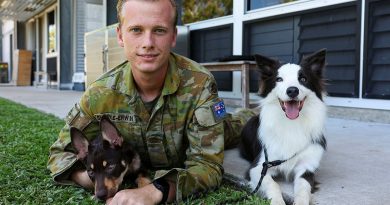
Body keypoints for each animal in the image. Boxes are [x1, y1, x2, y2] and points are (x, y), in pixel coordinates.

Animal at [239, 48, 328, 204]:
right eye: (279, 79)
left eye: (303, 79)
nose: (292, 90)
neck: (291, 124)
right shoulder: (259, 167)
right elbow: (273, 185)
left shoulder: (307, 168)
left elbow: (303, 189)